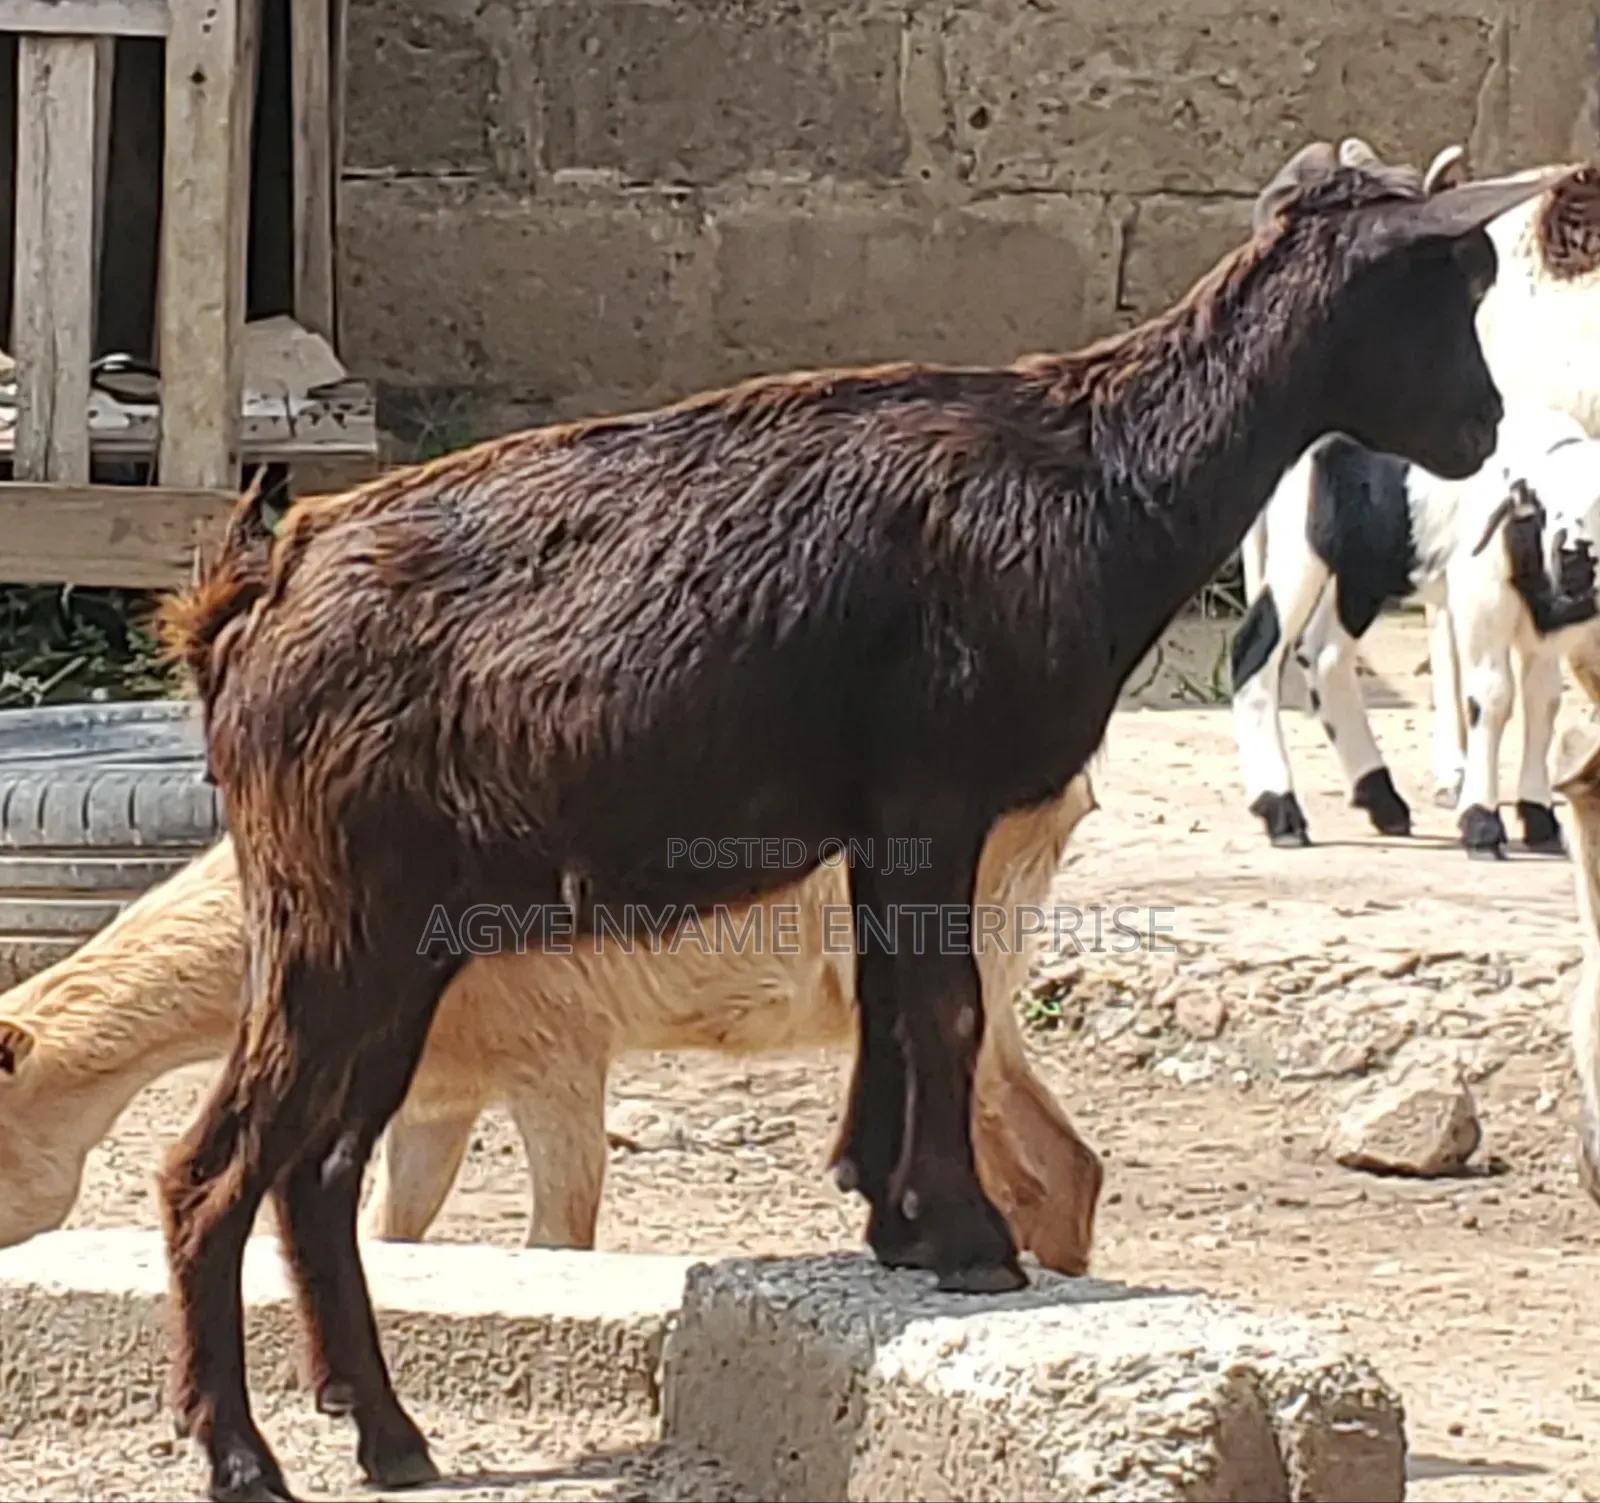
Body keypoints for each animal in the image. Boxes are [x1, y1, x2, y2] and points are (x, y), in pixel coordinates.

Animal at [153, 141, 1558, 1502]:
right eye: (1446, 287)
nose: (1484, 426)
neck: (1102, 479)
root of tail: (246, 607)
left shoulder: (885, 818)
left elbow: (893, 1005)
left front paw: (891, 1218)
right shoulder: (937, 788)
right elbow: (947, 1009)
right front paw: (970, 1240)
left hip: (403, 935)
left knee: (318, 1170)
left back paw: (387, 1438)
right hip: (335, 912)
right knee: (213, 1171)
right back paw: (242, 1457)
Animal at [1232, 406, 1600, 855]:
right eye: (1543, 508)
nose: (1574, 556)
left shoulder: (1550, 625)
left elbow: (1543, 702)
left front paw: (1540, 819)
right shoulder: (1478, 592)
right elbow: (1492, 696)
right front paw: (1481, 823)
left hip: (1363, 568)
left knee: (1325, 656)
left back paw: (1381, 800)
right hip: (1299, 546)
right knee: (1255, 648)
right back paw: (1280, 810)